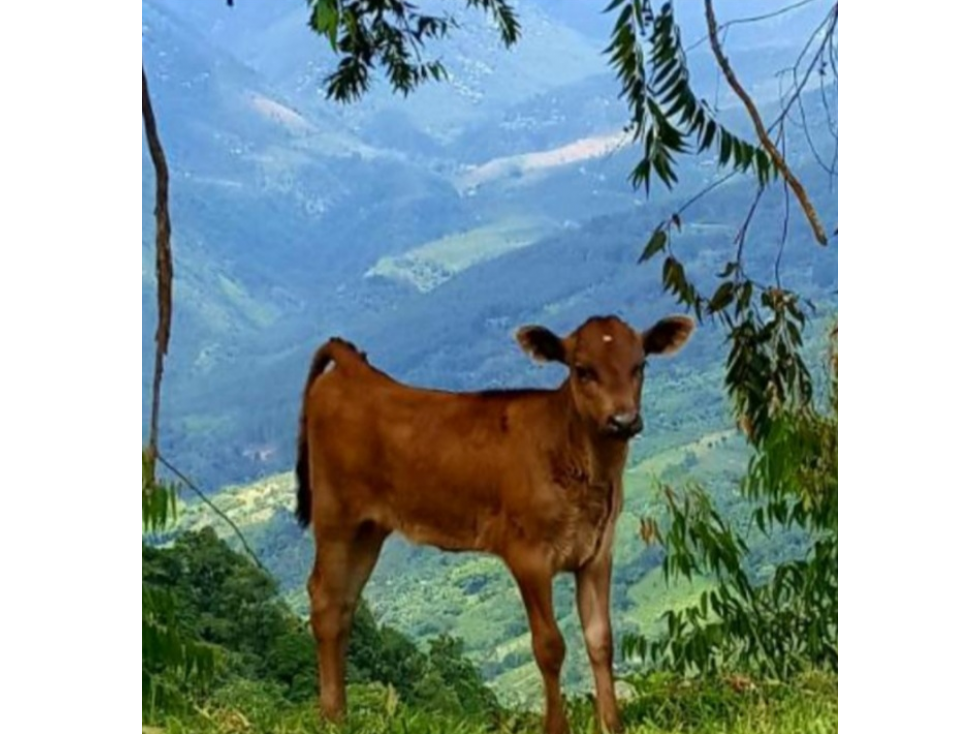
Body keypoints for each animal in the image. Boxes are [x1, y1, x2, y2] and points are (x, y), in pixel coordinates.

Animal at [294, 314, 692, 732]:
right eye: (583, 370)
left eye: (640, 365)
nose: (623, 420)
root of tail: (354, 371)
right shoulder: (527, 554)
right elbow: (549, 646)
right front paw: (556, 727)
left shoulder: (597, 551)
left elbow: (601, 639)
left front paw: (612, 725)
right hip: (335, 516)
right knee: (325, 600)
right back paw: (330, 715)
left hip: (368, 529)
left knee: (344, 604)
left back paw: (341, 713)